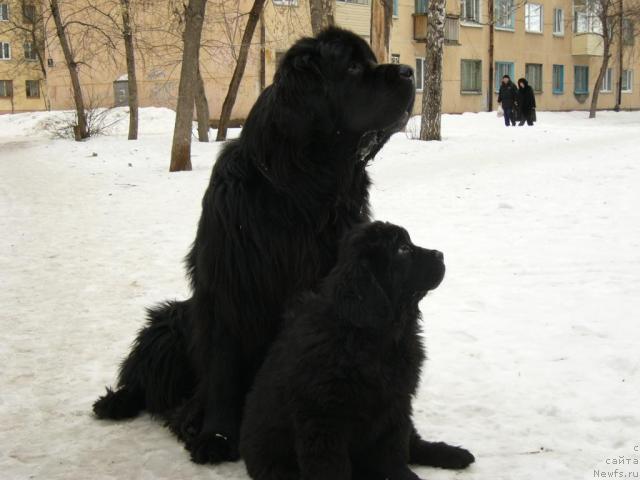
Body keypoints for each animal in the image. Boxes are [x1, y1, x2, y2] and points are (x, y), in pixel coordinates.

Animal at [240, 223, 456, 480]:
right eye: (402, 249)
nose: (440, 254)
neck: (373, 338)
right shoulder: (323, 420)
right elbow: (332, 467)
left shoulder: (396, 406)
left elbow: (394, 453)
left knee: (414, 443)